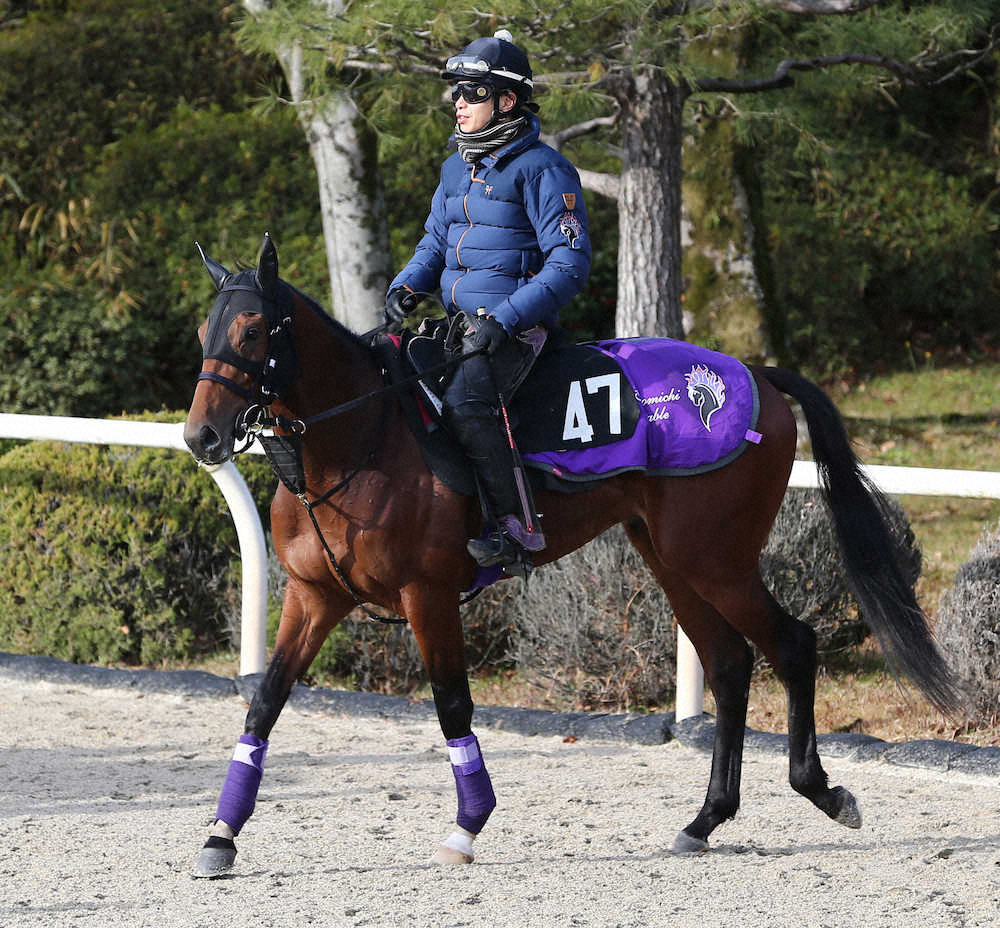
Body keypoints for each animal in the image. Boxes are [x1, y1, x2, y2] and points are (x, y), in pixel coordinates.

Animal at [184, 234, 960, 876]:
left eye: (252, 330)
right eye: (203, 332)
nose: (200, 436)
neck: (361, 438)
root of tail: (758, 376)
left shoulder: (427, 595)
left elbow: (452, 707)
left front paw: (468, 826)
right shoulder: (314, 596)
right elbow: (263, 706)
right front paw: (222, 835)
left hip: (715, 558)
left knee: (792, 644)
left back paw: (820, 789)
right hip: (671, 558)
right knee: (729, 663)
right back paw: (706, 819)